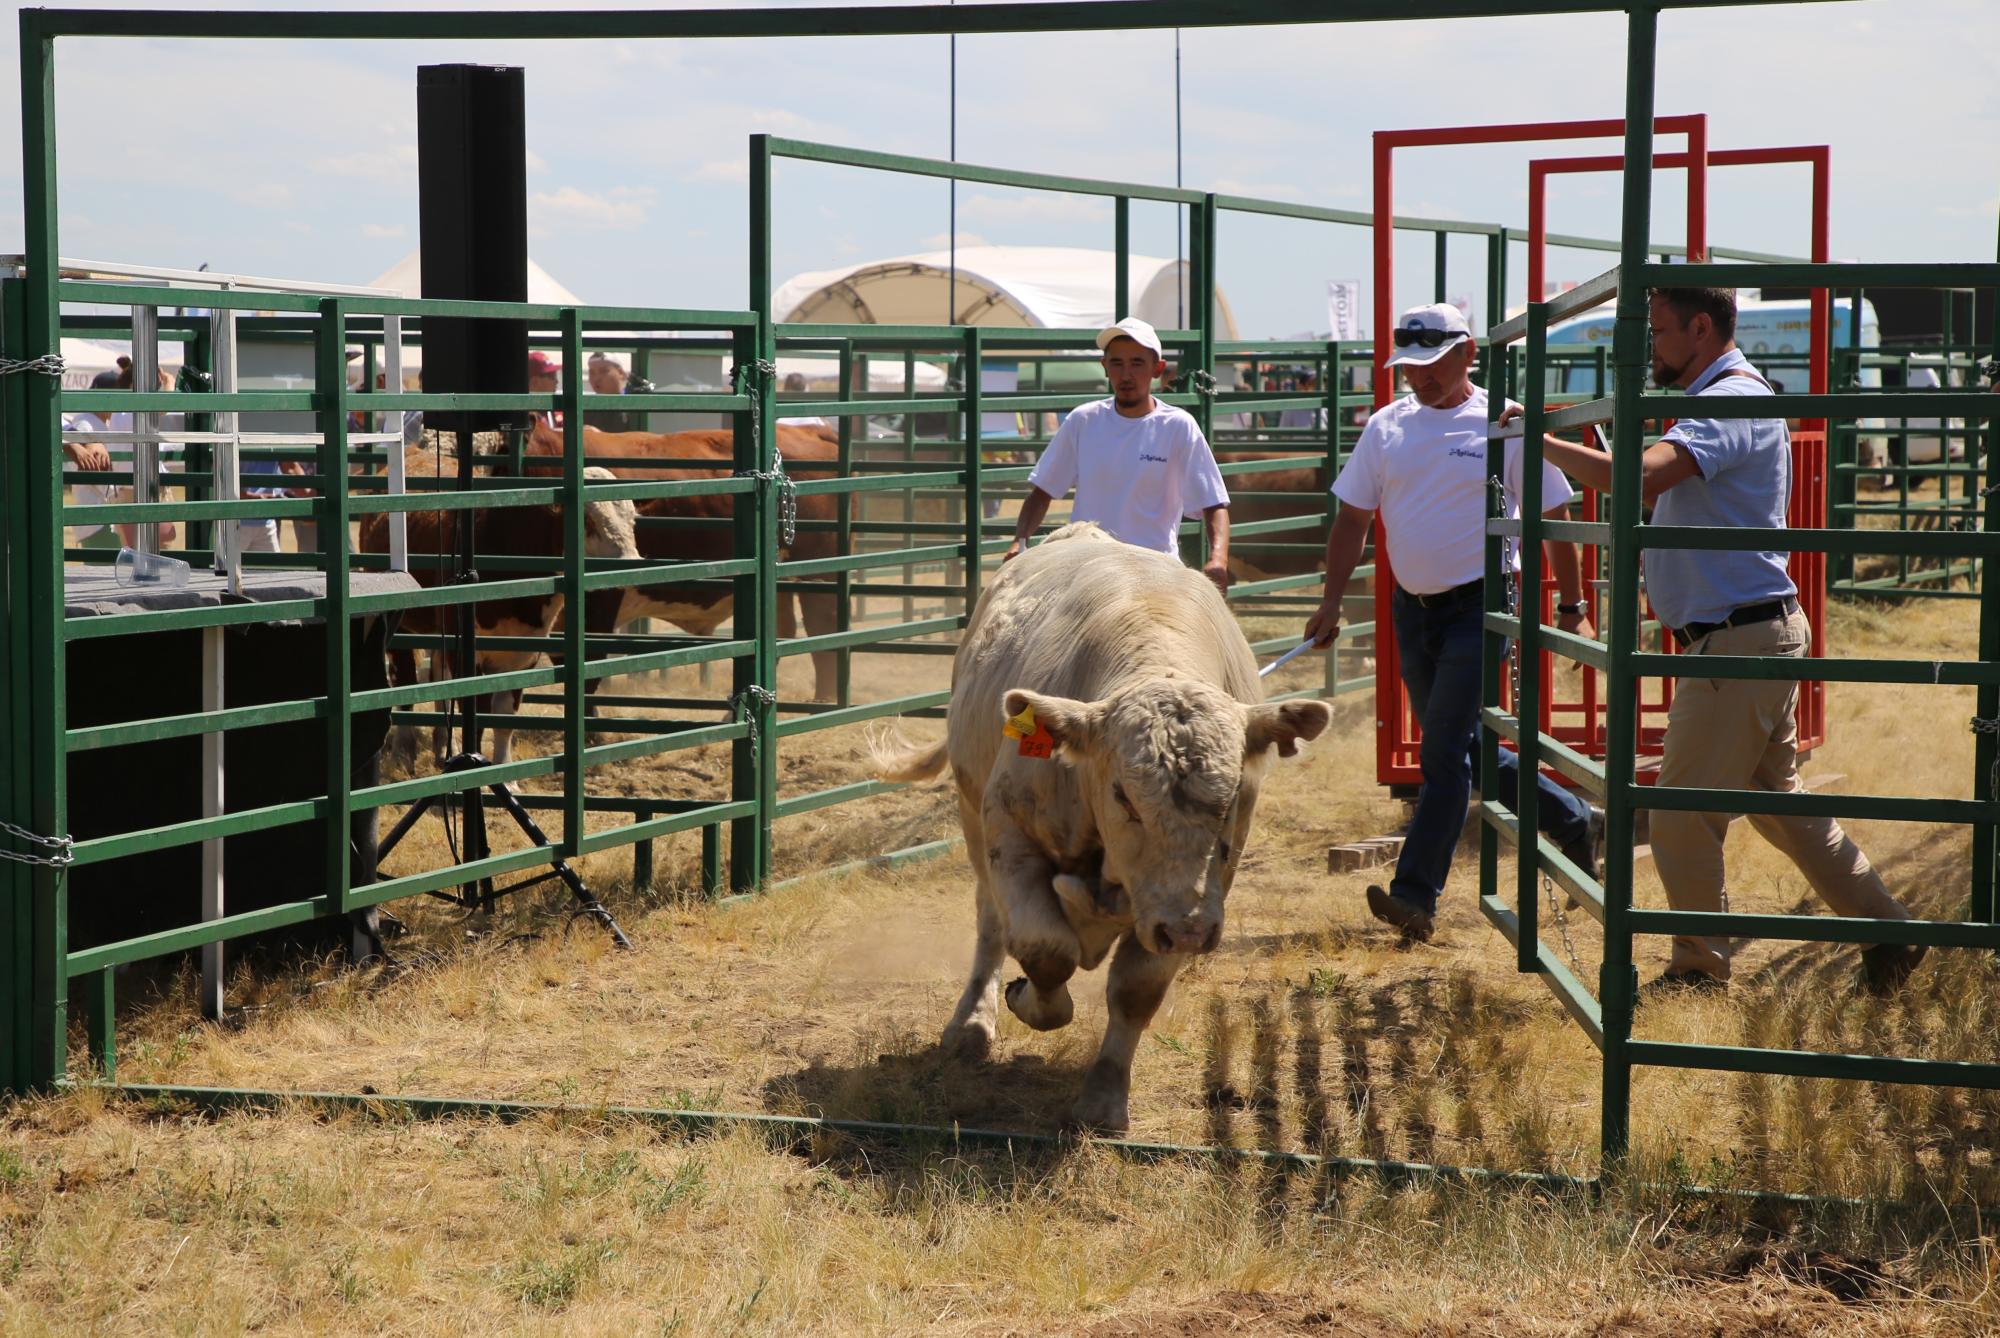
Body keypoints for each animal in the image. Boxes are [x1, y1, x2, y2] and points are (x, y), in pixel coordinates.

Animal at [876, 520, 1328, 1128]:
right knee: (992, 923)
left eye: (1233, 795)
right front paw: (1028, 999)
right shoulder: (1009, 832)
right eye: (1123, 796)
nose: (1189, 930)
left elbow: (1136, 989)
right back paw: (972, 1021)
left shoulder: (1194, 895)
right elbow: (1045, 947)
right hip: (973, 819)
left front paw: (1104, 1096)